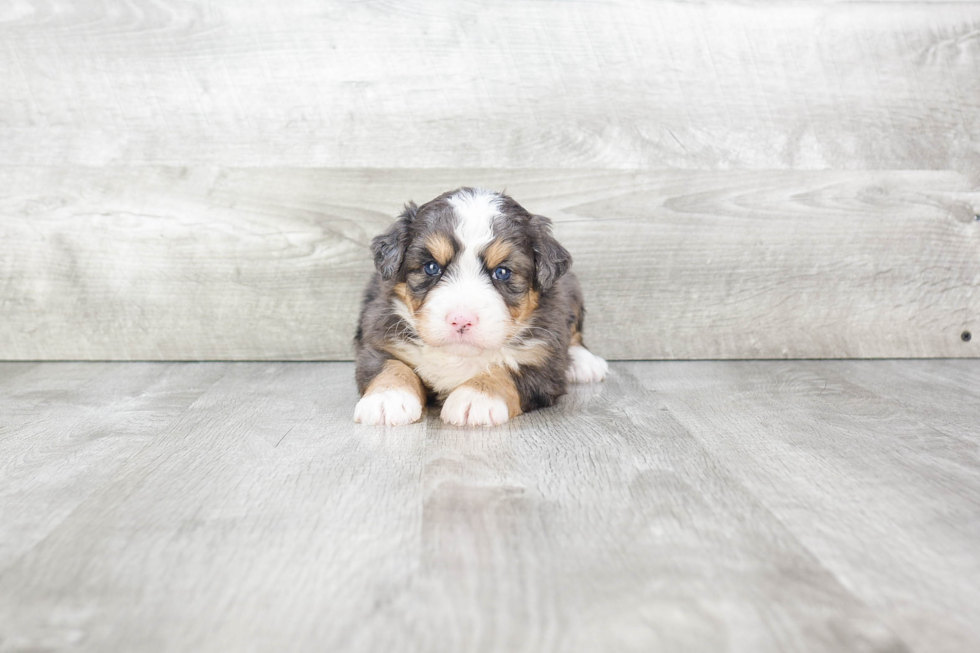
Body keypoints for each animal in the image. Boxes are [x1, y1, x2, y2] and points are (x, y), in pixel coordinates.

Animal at [356, 186, 608, 426]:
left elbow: (505, 370)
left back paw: (585, 364)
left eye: (503, 272)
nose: (461, 319)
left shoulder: (542, 359)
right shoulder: (381, 339)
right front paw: (387, 399)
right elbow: (391, 366)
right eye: (431, 267)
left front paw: (475, 398)